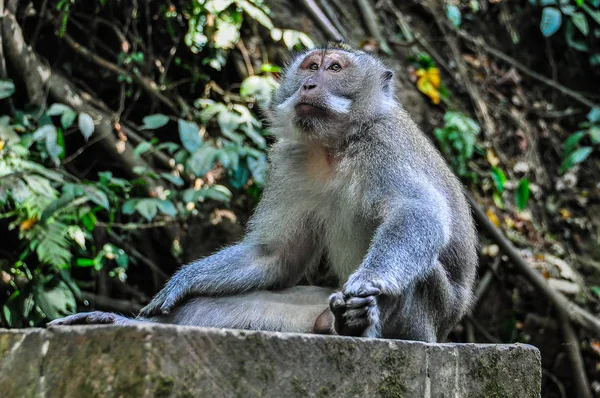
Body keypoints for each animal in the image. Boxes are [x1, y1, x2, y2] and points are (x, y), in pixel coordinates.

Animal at [50, 42, 478, 342]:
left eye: (335, 68)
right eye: (311, 66)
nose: (308, 84)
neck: (334, 146)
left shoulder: (383, 144)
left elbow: (416, 211)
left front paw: (371, 281)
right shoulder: (291, 162)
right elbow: (274, 255)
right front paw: (182, 282)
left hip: (424, 321)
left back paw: (358, 321)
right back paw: (123, 321)